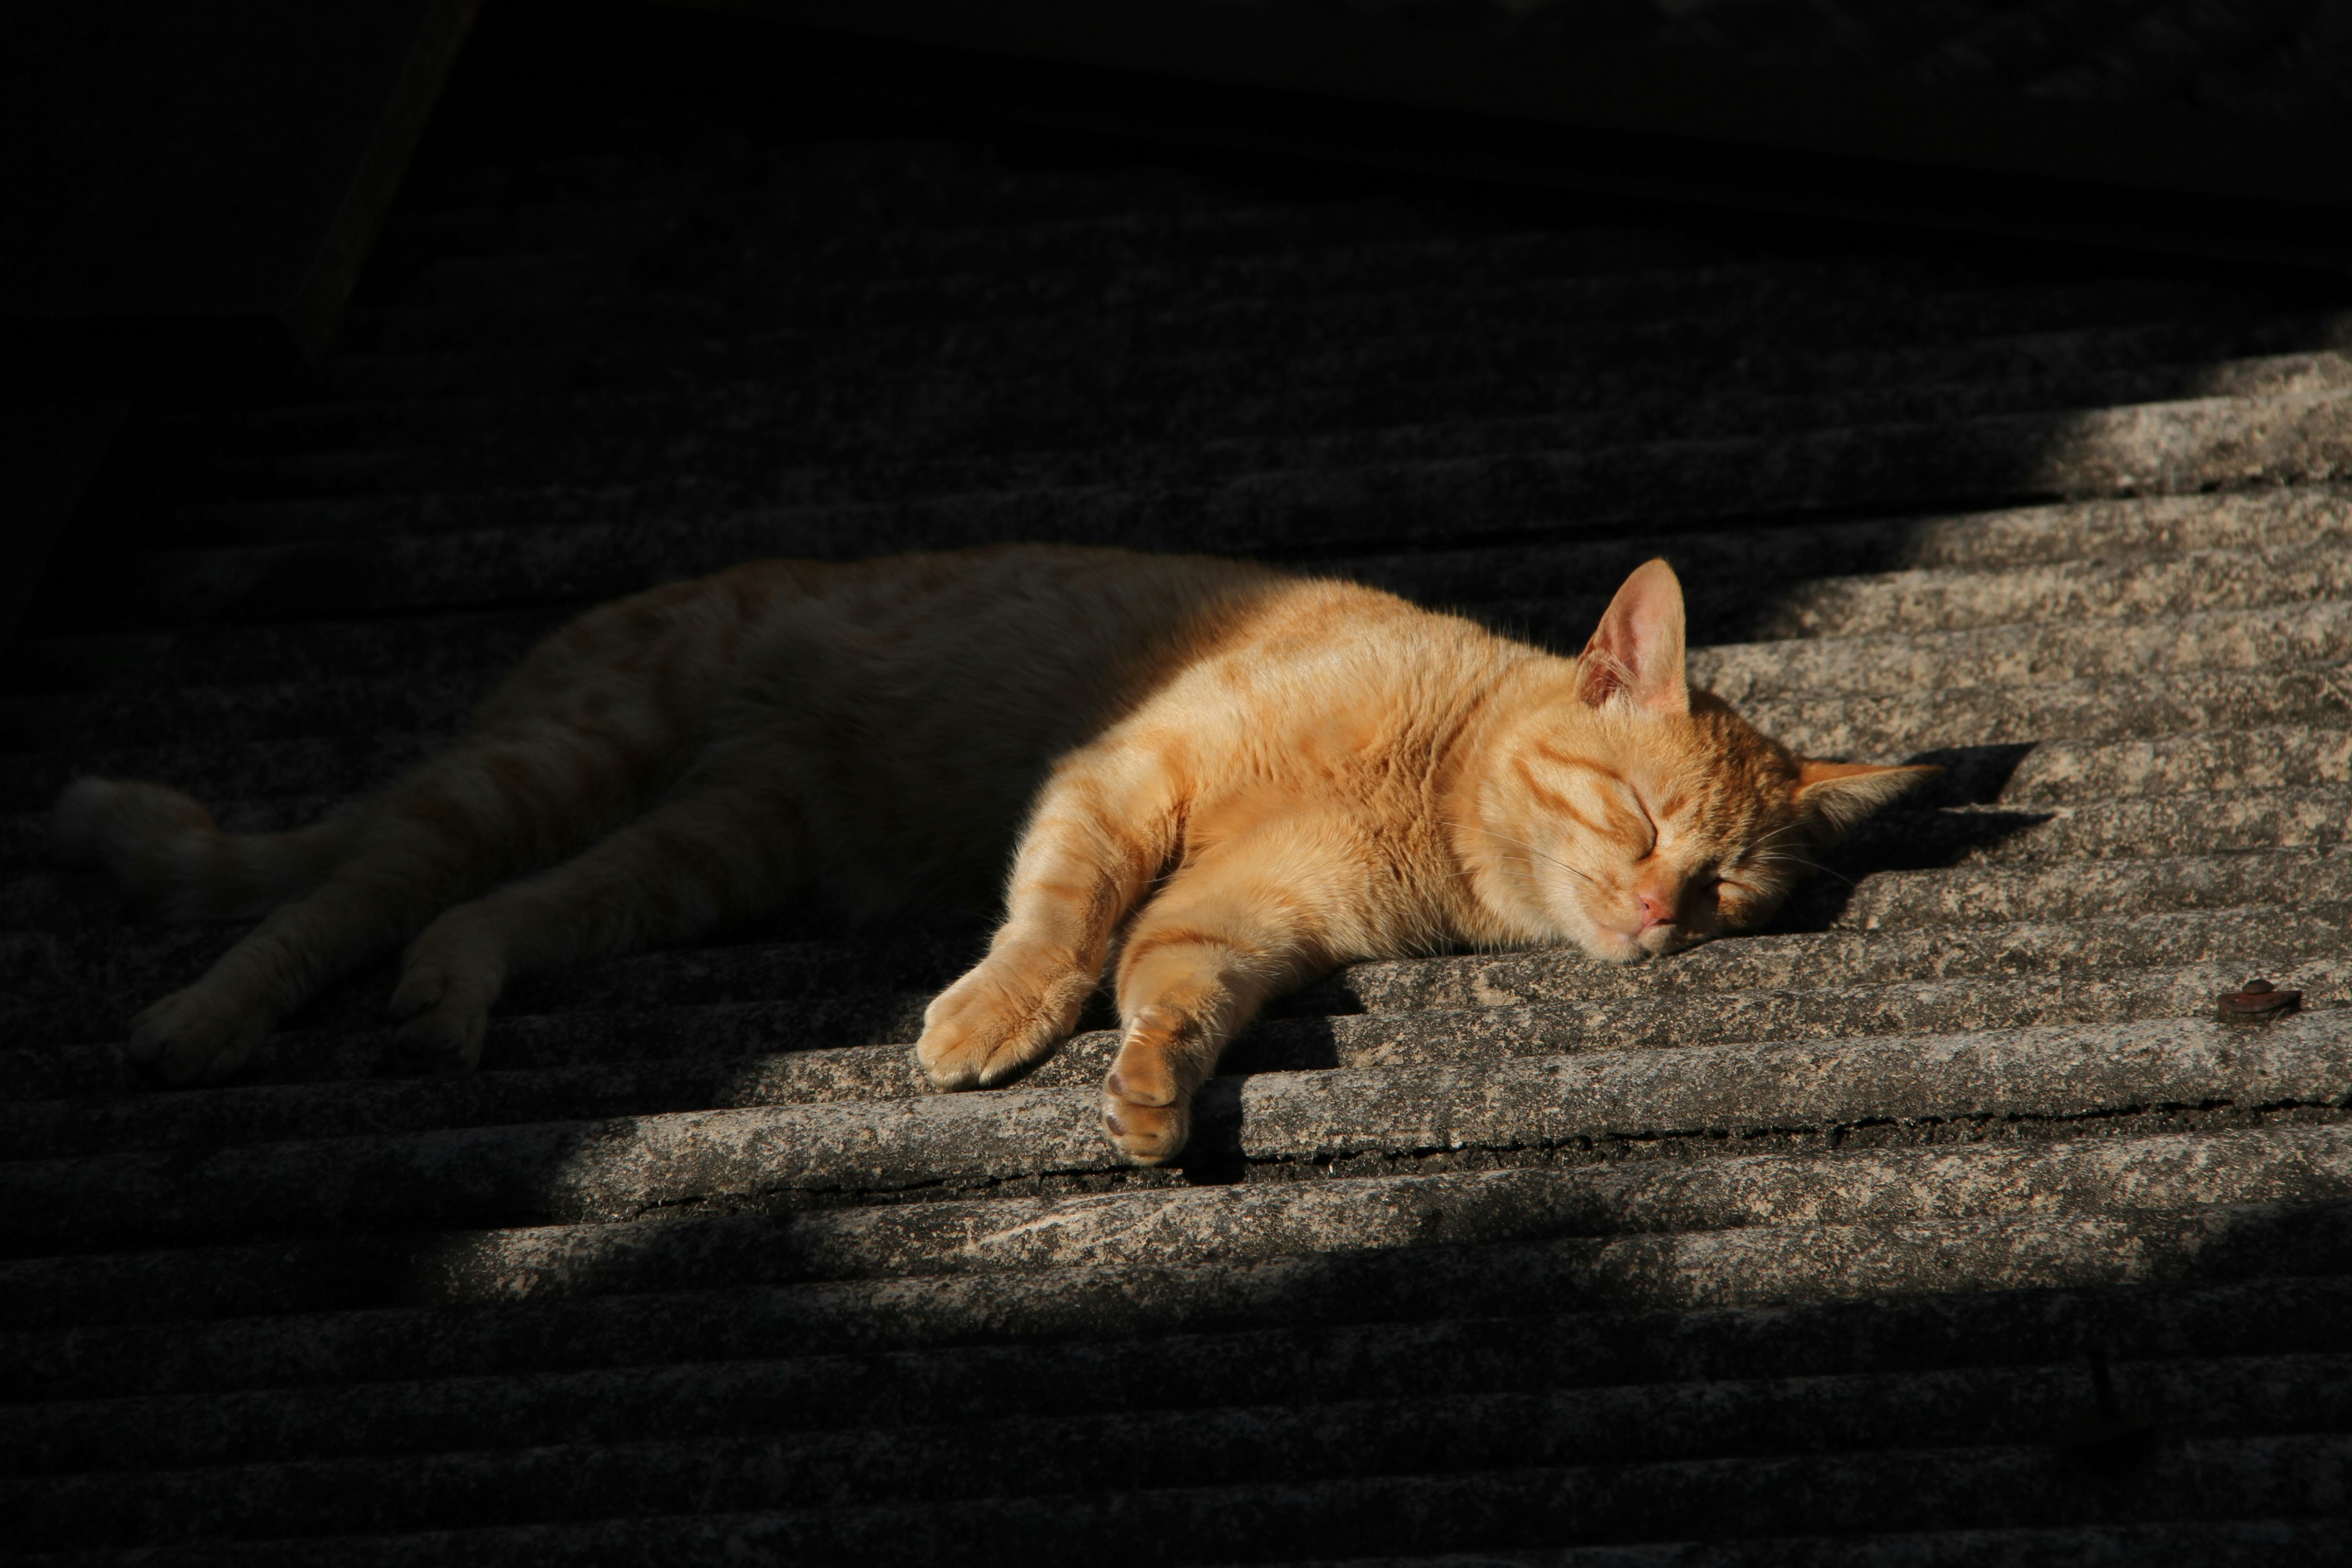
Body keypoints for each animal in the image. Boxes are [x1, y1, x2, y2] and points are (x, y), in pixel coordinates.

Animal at [50, 545, 1928, 1161]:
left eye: (1731, 888)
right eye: (1640, 823)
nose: (1658, 914)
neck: (1427, 790)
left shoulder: (1242, 915)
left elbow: (1170, 985)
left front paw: (1151, 1091)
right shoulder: (1123, 777)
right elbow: (1061, 921)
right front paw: (991, 1020)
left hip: (695, 853)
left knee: (484, 916)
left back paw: (447, 1003)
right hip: (548, 764)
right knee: (335, 892)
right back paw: (201, 1021)